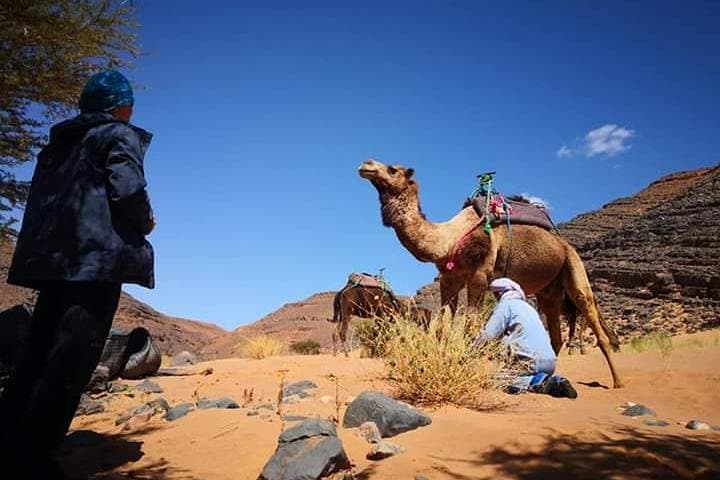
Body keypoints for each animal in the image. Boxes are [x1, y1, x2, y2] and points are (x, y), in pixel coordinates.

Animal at [358, 159, 624, 388]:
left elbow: (471, 324)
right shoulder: (449, 279)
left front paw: (465, 366)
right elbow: (443, 325)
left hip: (573, 266)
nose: (366, 164)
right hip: (549, 291)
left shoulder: (480, 275)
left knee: (589, 312)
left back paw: (617, 382)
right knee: (555, 334)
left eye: (392, 169)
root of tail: (563, 243)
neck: (450, 238)